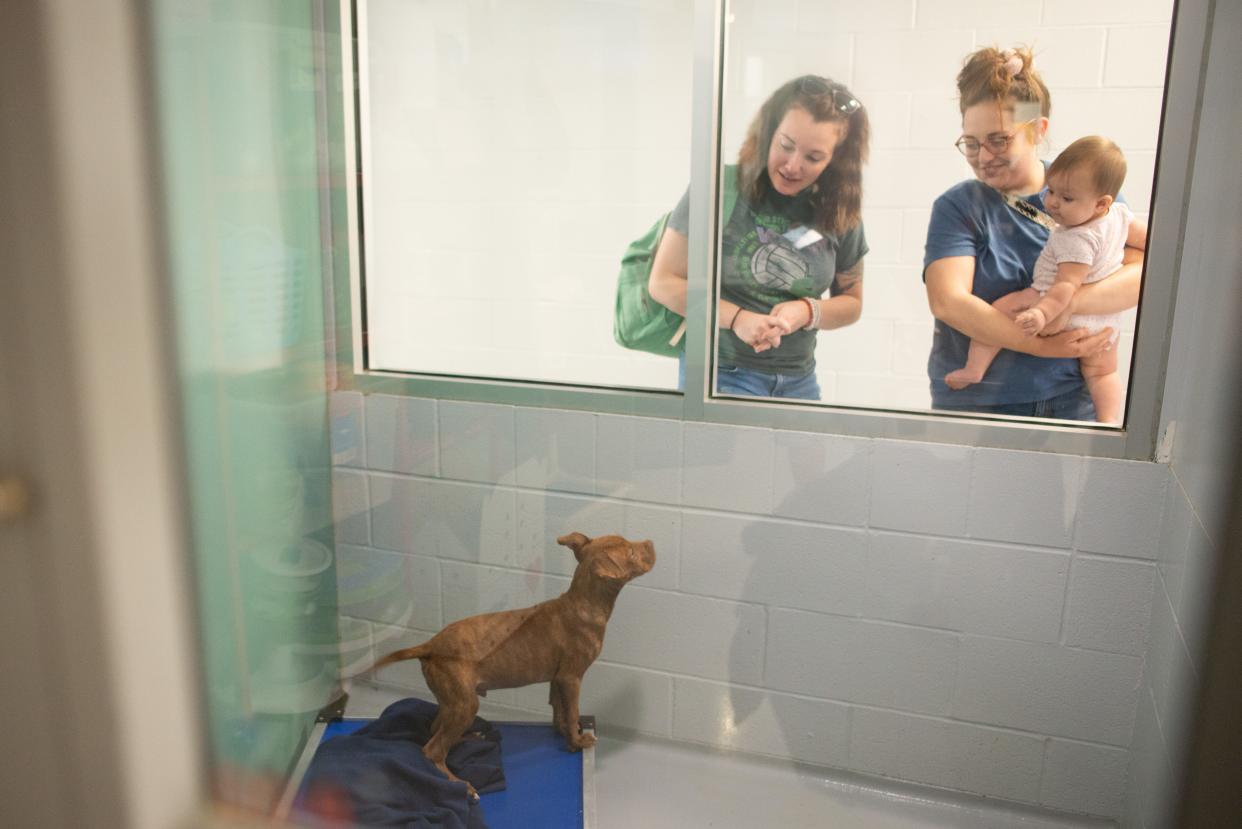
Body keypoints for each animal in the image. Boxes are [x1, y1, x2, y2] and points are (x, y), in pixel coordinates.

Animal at [370, 531, 655, 795]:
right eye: (631, 552)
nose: (651, 542)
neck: (585, 603)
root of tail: (429, 646)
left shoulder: (557, 678)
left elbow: (559, 710)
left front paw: (564, 733)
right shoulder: (571, 677)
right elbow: (572, 710)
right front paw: (578, 741)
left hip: (452, 700)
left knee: (434, 729)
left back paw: (467, 739)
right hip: (464, 703)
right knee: (432, 750)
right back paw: (460, 785)